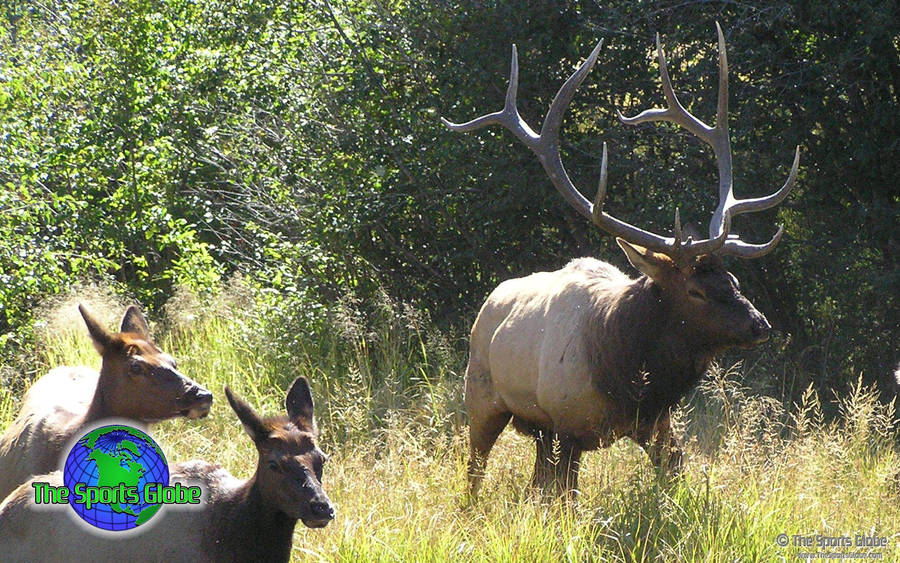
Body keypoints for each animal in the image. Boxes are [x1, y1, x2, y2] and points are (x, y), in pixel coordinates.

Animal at [442, 24, 800, 496]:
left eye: (735, 281)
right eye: (696, 291)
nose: (760, 325)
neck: (628, 376)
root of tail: (489, 303)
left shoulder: (657, 424)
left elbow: (674, 473)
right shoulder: (567, 426)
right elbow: (565, 497)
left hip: (536, 430)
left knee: (531, 482)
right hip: (481, 396)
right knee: (475, 469)